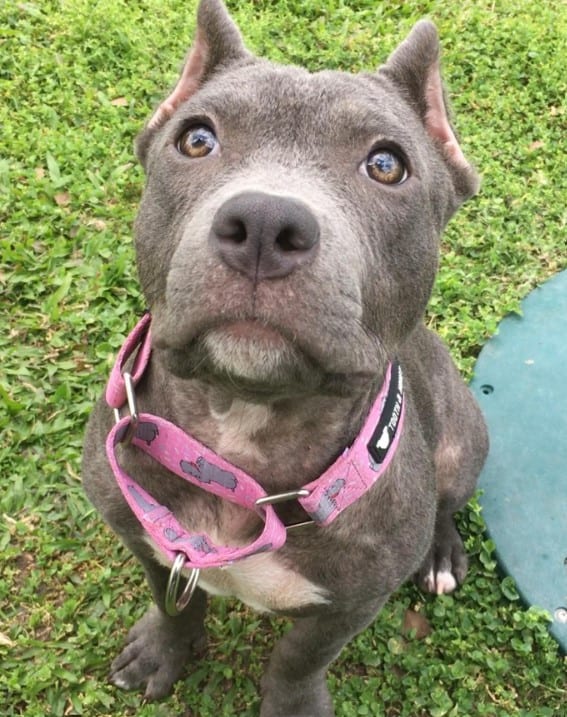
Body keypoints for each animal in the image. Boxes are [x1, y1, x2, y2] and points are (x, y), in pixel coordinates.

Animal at [82, 2, 490, 712]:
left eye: (387, 165)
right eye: (196, 139)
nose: (266, 223)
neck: (244, 439)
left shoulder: (350, 605)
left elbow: (299, 659)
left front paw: (292, 703)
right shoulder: (146, 538)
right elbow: (175, 601)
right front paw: (163, 650)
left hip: (463, 442)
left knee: (446, 501)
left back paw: (439, 553)